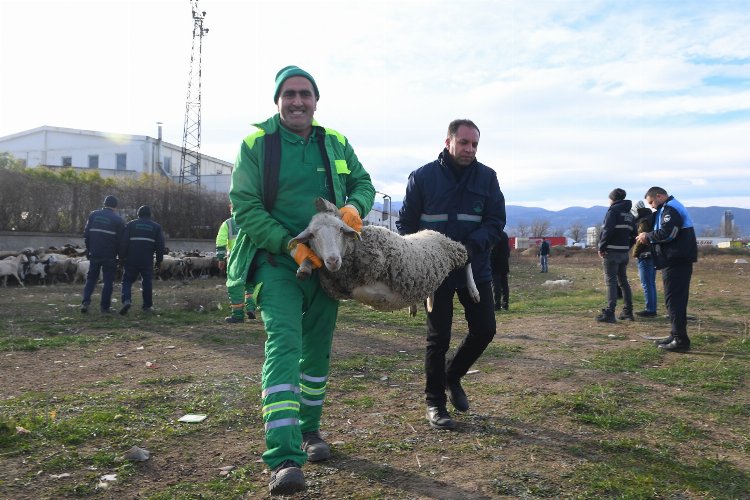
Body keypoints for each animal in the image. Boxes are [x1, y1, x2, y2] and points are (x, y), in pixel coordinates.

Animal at [290, 196, 478, 310]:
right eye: (312, 235)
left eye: (341, 229)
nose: (333, 260)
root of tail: (430, 231)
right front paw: (304, 268)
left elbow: (364, 293)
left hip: (454, 250)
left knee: (468, 258)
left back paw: (474, 291)